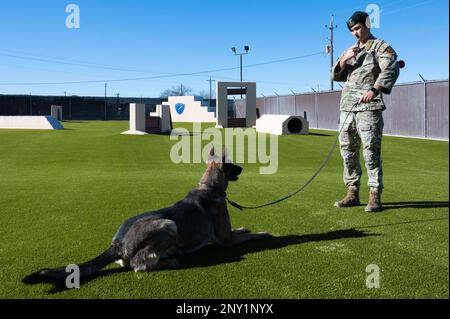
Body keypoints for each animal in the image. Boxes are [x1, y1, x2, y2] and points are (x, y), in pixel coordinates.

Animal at [22, 146, 268, 286]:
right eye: (233, 165)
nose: (243, 168)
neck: (209, 187)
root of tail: (118, 243)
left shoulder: (225, 234)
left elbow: (240, 229)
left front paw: (245, 227)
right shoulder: (227, 240)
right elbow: (251, 236)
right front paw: (263, 233)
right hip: (168, 224)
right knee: (139, 265)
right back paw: (170, 261)